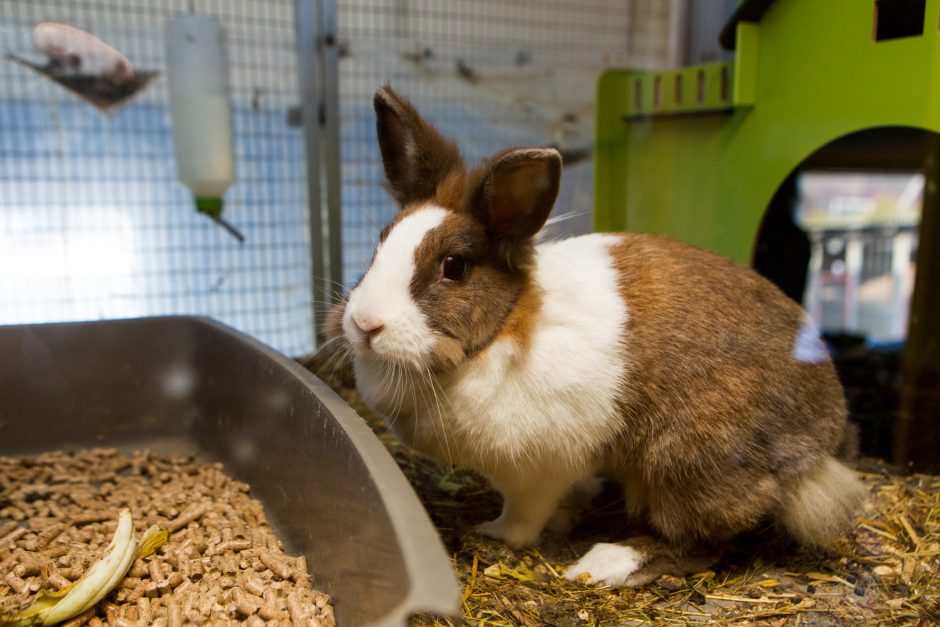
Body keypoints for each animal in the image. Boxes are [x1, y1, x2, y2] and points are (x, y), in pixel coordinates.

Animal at [324, 84, 868, 588]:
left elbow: (524, 515)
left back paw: (606, 562)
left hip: (690, 463)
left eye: (453, 267)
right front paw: (570, 514)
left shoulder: (536, 472)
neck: (502, 330)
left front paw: (495, 533)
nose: (365, 324)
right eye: (378, 246)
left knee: (702, 542)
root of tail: (822, 443)